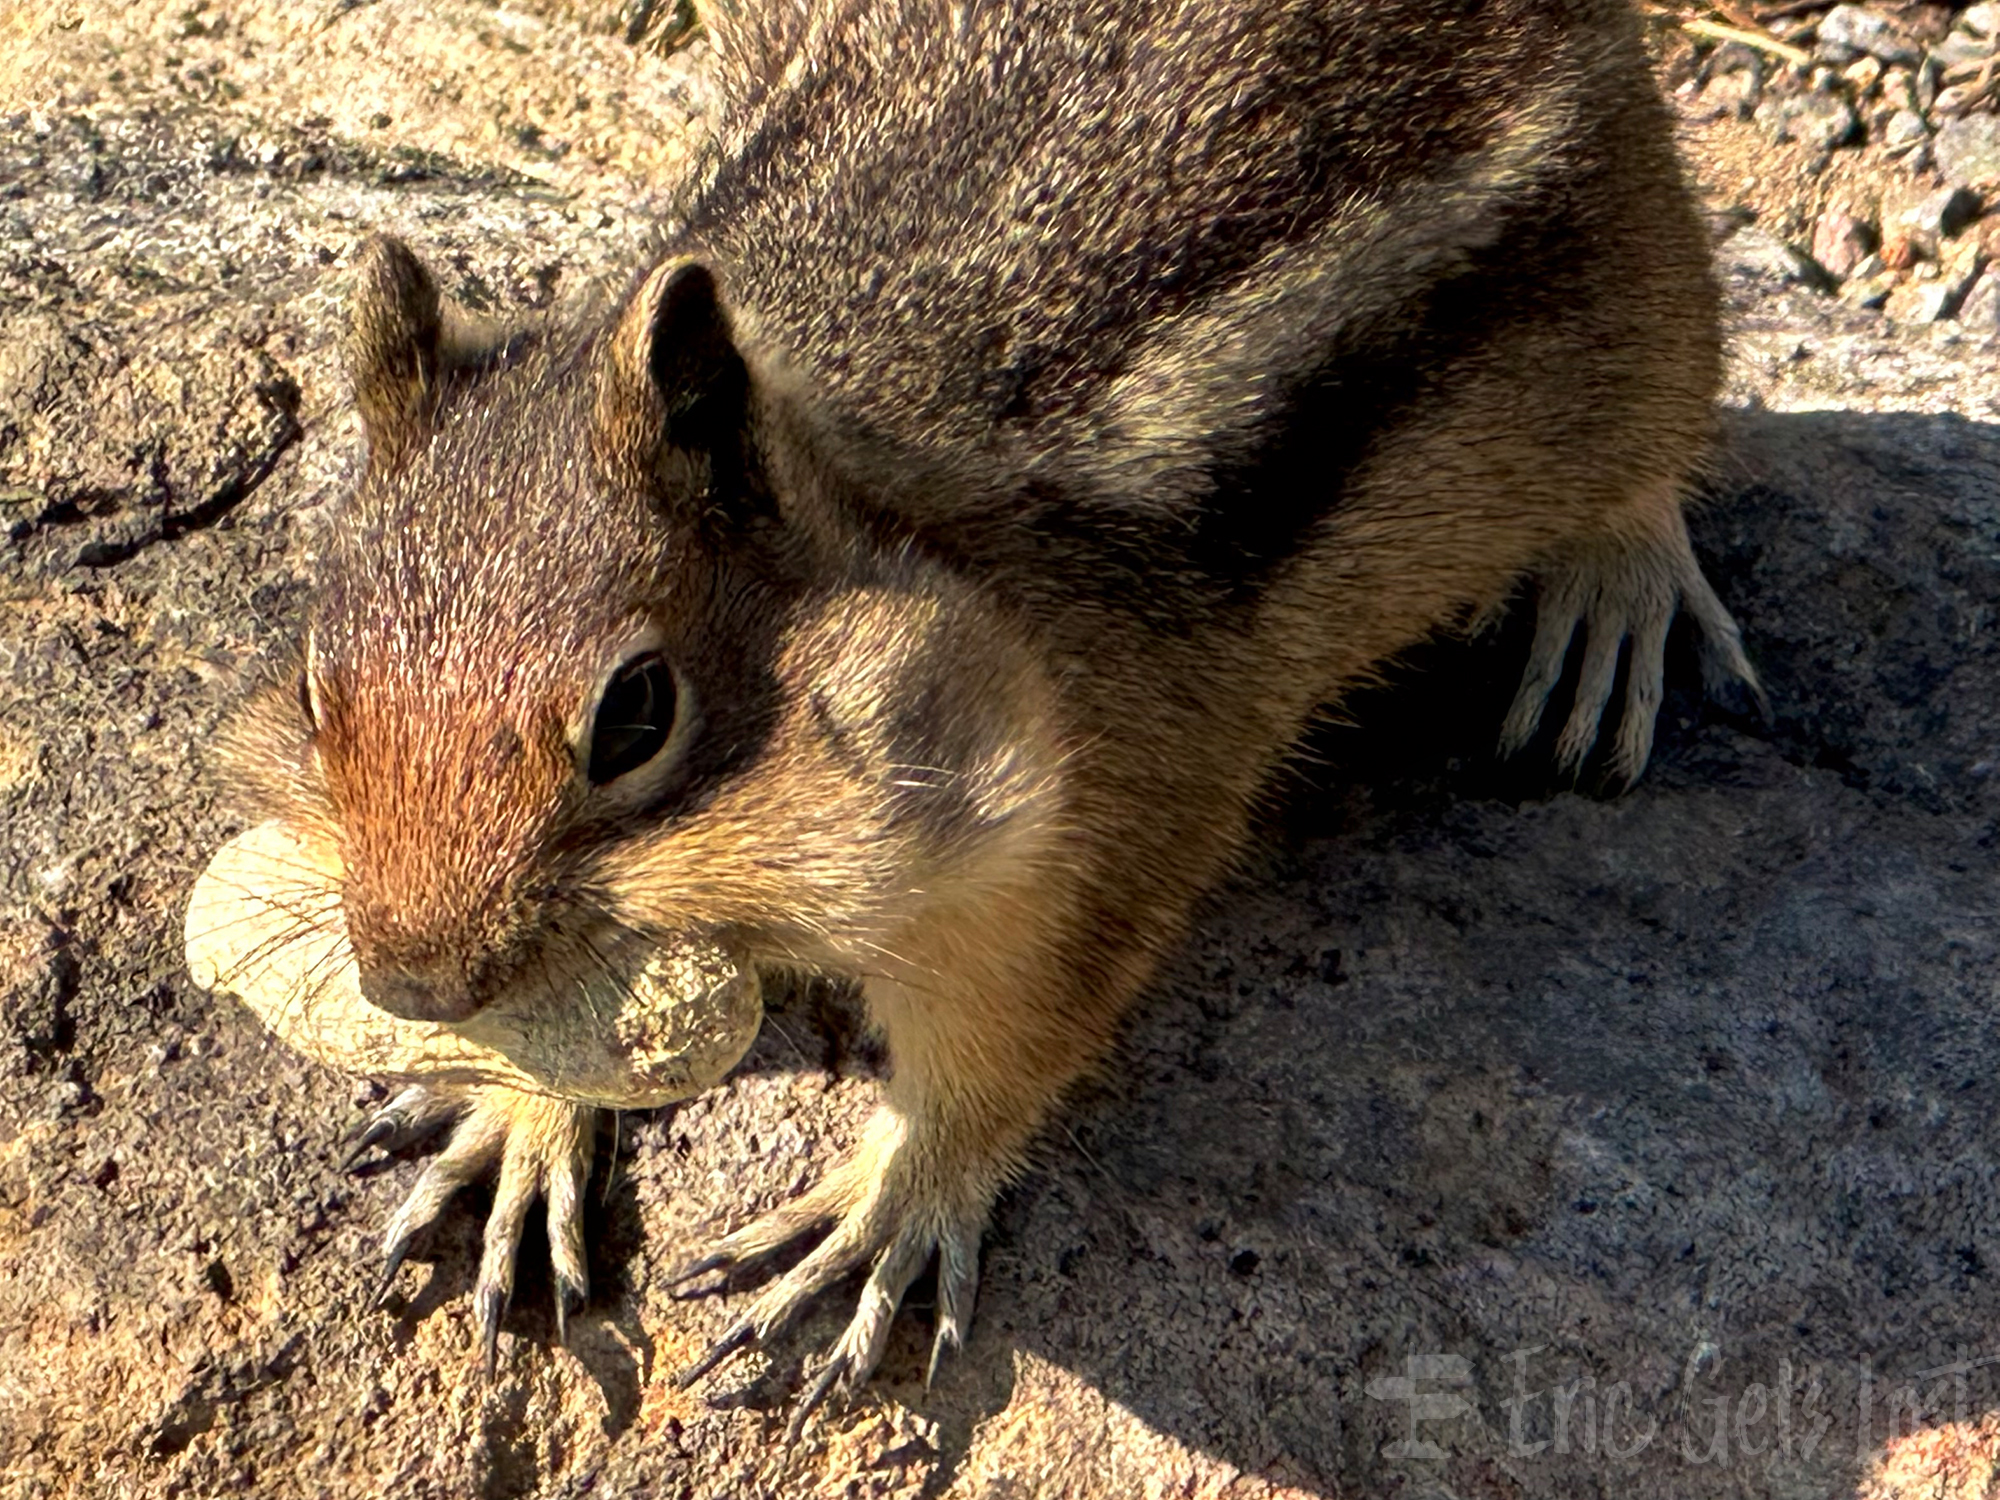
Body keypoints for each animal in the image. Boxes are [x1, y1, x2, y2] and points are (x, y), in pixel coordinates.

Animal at [184, 0, 1752, 1440]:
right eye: (318, 688)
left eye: (634, 715)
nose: (411, 987)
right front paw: (515, 1116)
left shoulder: (1101, 815)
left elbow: (1005, 1051)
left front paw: (884, 1209)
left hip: (1633, 308)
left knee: (1658, 444)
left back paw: (1615, 600)